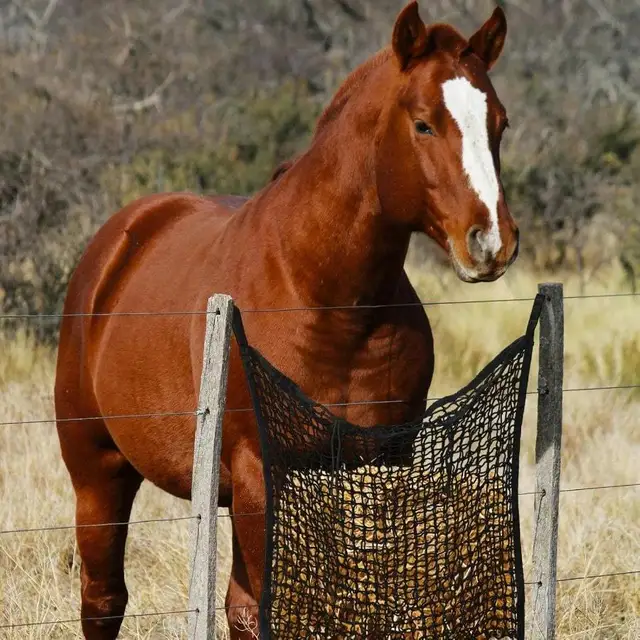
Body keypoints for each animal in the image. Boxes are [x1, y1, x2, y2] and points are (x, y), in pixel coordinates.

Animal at [54, 3, 518, 638]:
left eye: (500, 123)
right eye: (424, 124)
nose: (491, 242)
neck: (326, 301)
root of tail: (120, 240)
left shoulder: (377, 472)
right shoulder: (259, 476)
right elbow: (260, 611)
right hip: (98, 474)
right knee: (105, 601)